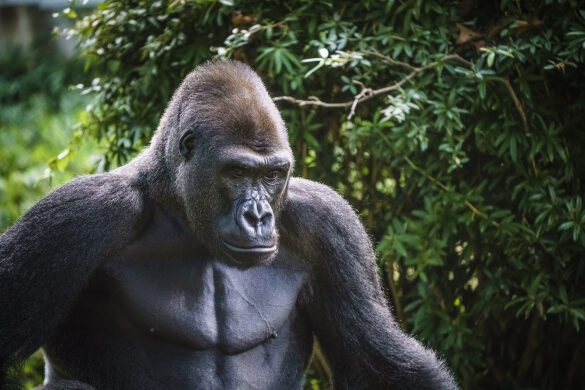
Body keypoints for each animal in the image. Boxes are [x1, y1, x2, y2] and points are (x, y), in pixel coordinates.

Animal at [0, 61, 456, 390]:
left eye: (272, 175)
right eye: (237, 172)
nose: (258, 217)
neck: (177, 204)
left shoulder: (328, 223)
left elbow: (379, 365)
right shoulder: (77, 218)